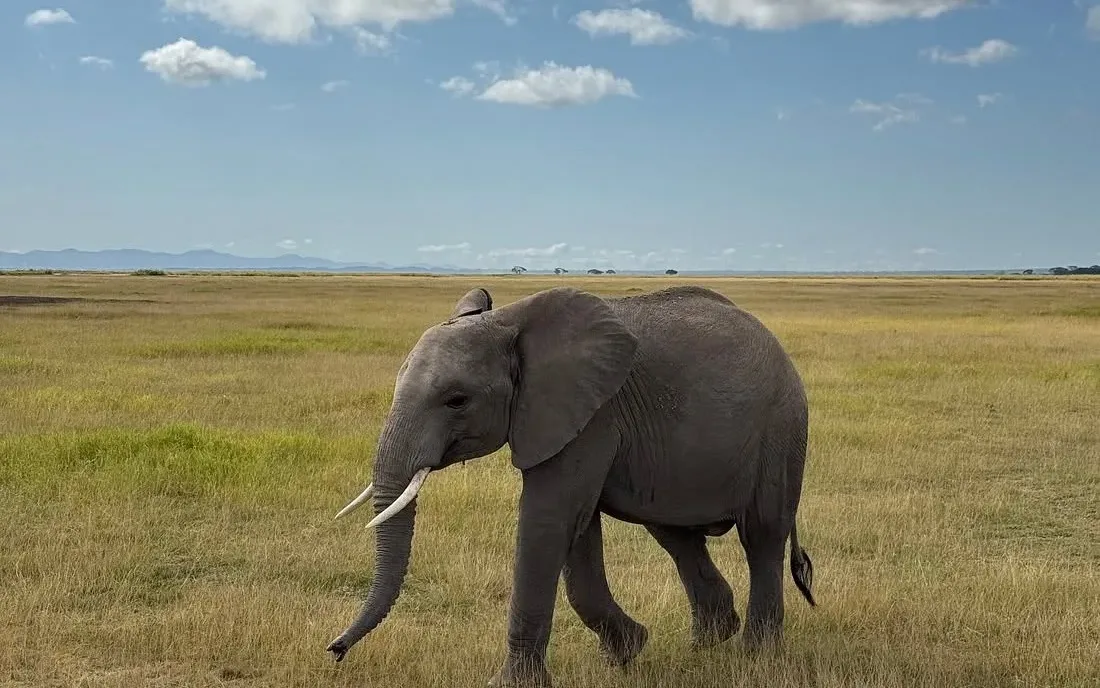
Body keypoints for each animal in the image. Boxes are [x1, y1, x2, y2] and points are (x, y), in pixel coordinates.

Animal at [326, 284, 816, 687]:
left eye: (456, 400)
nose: (335, 650)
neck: (509, 322)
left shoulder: (591, 414)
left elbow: (550, 518)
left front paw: (514, 684)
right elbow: (577, 529)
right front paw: (627, 652)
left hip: (781, 429)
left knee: (762, 536)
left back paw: (755, 657)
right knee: (675, 534)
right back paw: (706, 645)